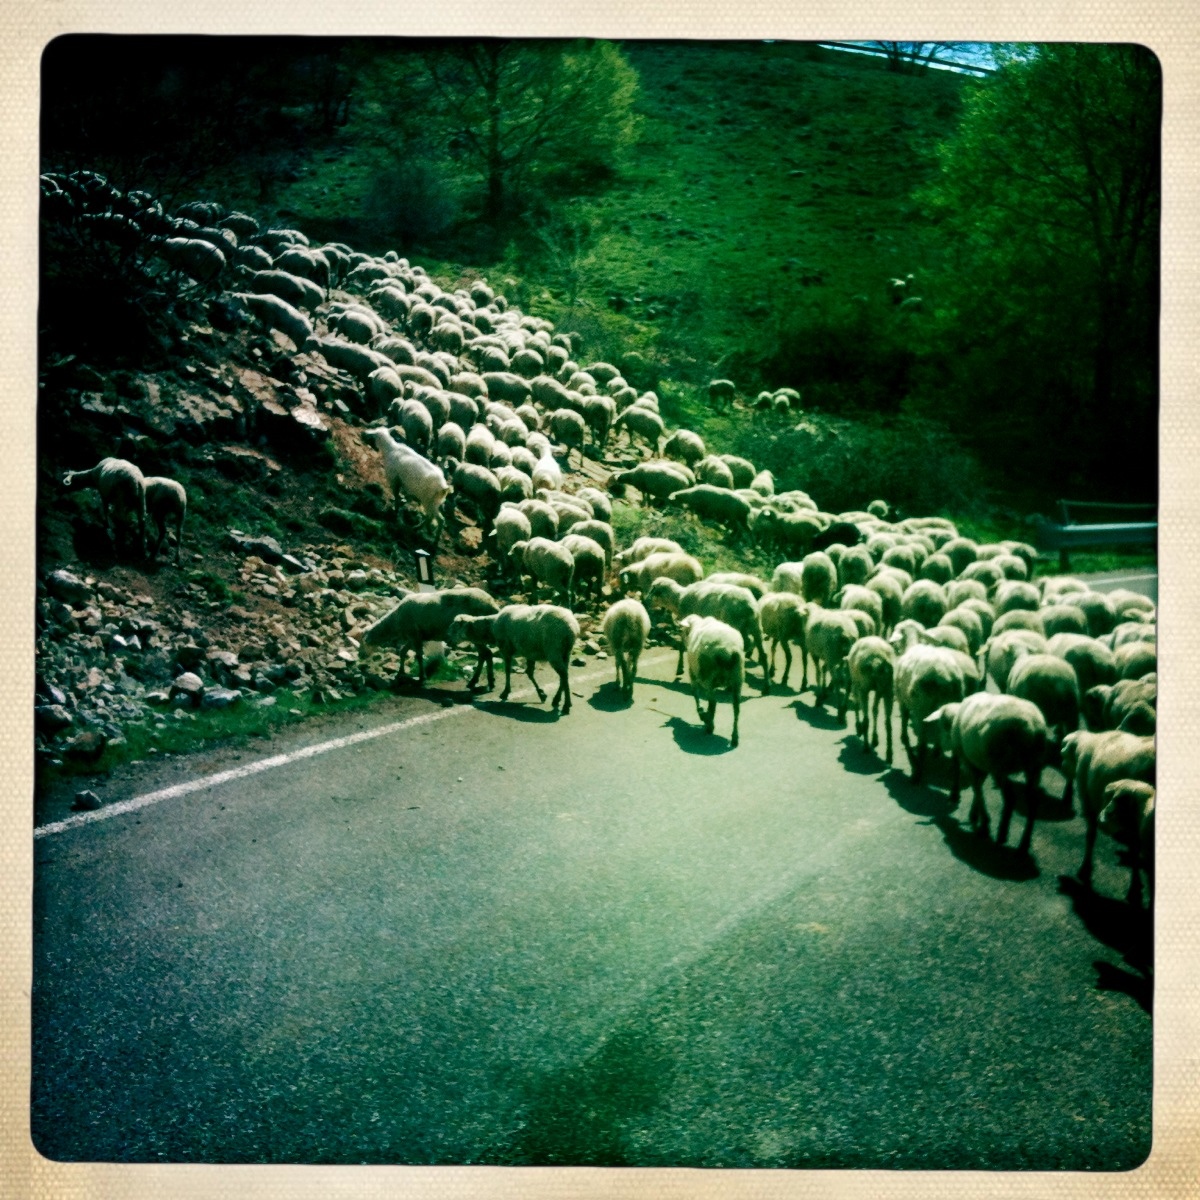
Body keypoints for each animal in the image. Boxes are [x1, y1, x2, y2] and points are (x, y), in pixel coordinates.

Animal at [361, 588, 500, 685]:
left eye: (363, 642)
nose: (360, 658)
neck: (394, 621)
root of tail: (493, 604)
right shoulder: (414, 637)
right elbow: (403, 652)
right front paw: (400, 673)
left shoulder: (414, 635)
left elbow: (418, 656)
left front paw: (422, 677)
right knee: (486, 654)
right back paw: (489, 680)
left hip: (474, 632)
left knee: (485, 654)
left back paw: (475, 681)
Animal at [679, 614, 744, 747]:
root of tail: (729, 649)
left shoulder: (693, 674)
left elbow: (695, 695)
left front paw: (702, 713)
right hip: (737, 679)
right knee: (736, 708)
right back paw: (734, 738)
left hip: (709, 678)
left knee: (713, 703)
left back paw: (709, 725)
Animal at [924, 693, 1049, 851]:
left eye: (940, 726)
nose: (937, 750)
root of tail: (1031, 726)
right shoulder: (980, 764)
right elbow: (978, 787)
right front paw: (975, 813)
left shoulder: (969, 762)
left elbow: (977, 789)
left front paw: (983, 824)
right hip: (1034, 766)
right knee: (1033, 801)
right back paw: (1024, 843)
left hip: (1000, 765)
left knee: (1010, 798)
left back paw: (1002, 833)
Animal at [1061, 729, 1156, 886]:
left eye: (1064, 753)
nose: (1062, 766)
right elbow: (1134, 849)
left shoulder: (1090, 804)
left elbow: (1090, 836)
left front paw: (1085, 869)